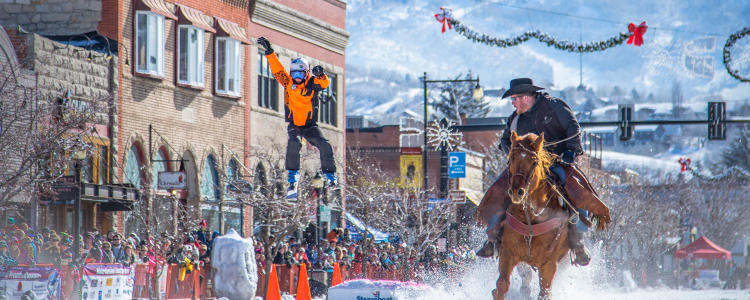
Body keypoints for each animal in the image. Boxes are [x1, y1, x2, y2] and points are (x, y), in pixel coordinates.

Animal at [494, 133, 580, 300]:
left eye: (534, 161)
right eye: (510, 158)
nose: (517, 192)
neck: (531, 218)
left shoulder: (549, 264)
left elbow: (545, 292)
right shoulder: (508, 252)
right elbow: (502, 285)